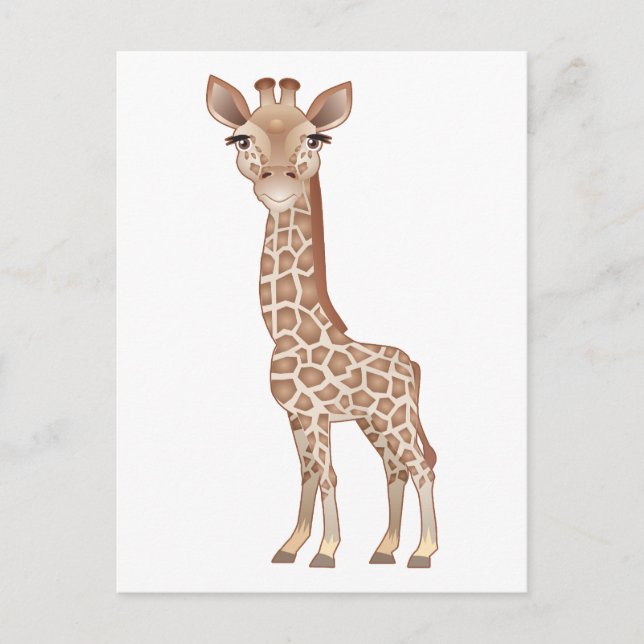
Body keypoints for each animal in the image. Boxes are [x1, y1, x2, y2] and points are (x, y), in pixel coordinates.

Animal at [206, 76, 438, 568]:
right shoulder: (295, 415)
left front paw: (326, 553)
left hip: (396, 417)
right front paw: (290, 547)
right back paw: (384, 550)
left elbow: (329, 474)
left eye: (315, 139)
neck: (287, 331)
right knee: (394, 467)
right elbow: (309, 473)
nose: (278, 183)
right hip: (373, 421)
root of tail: (412, 364)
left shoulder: (315, 414)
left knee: (421, 463)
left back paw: (423, 552)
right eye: (242, 138)